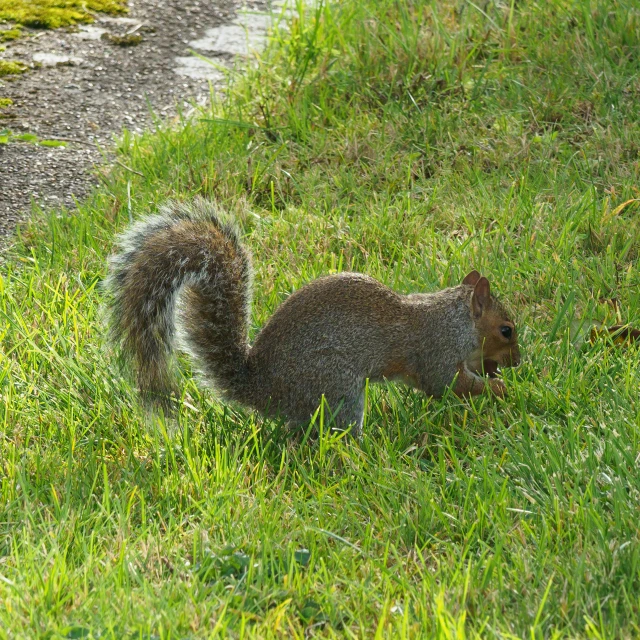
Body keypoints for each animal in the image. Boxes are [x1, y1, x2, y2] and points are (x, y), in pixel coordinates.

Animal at [105, 199, 524, 436]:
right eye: (506, 330)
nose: (518, 363)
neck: (453, 320)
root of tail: (261, 389)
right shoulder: (434, 355)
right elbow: (447, 385)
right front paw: (500, 390)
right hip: (336, 387)